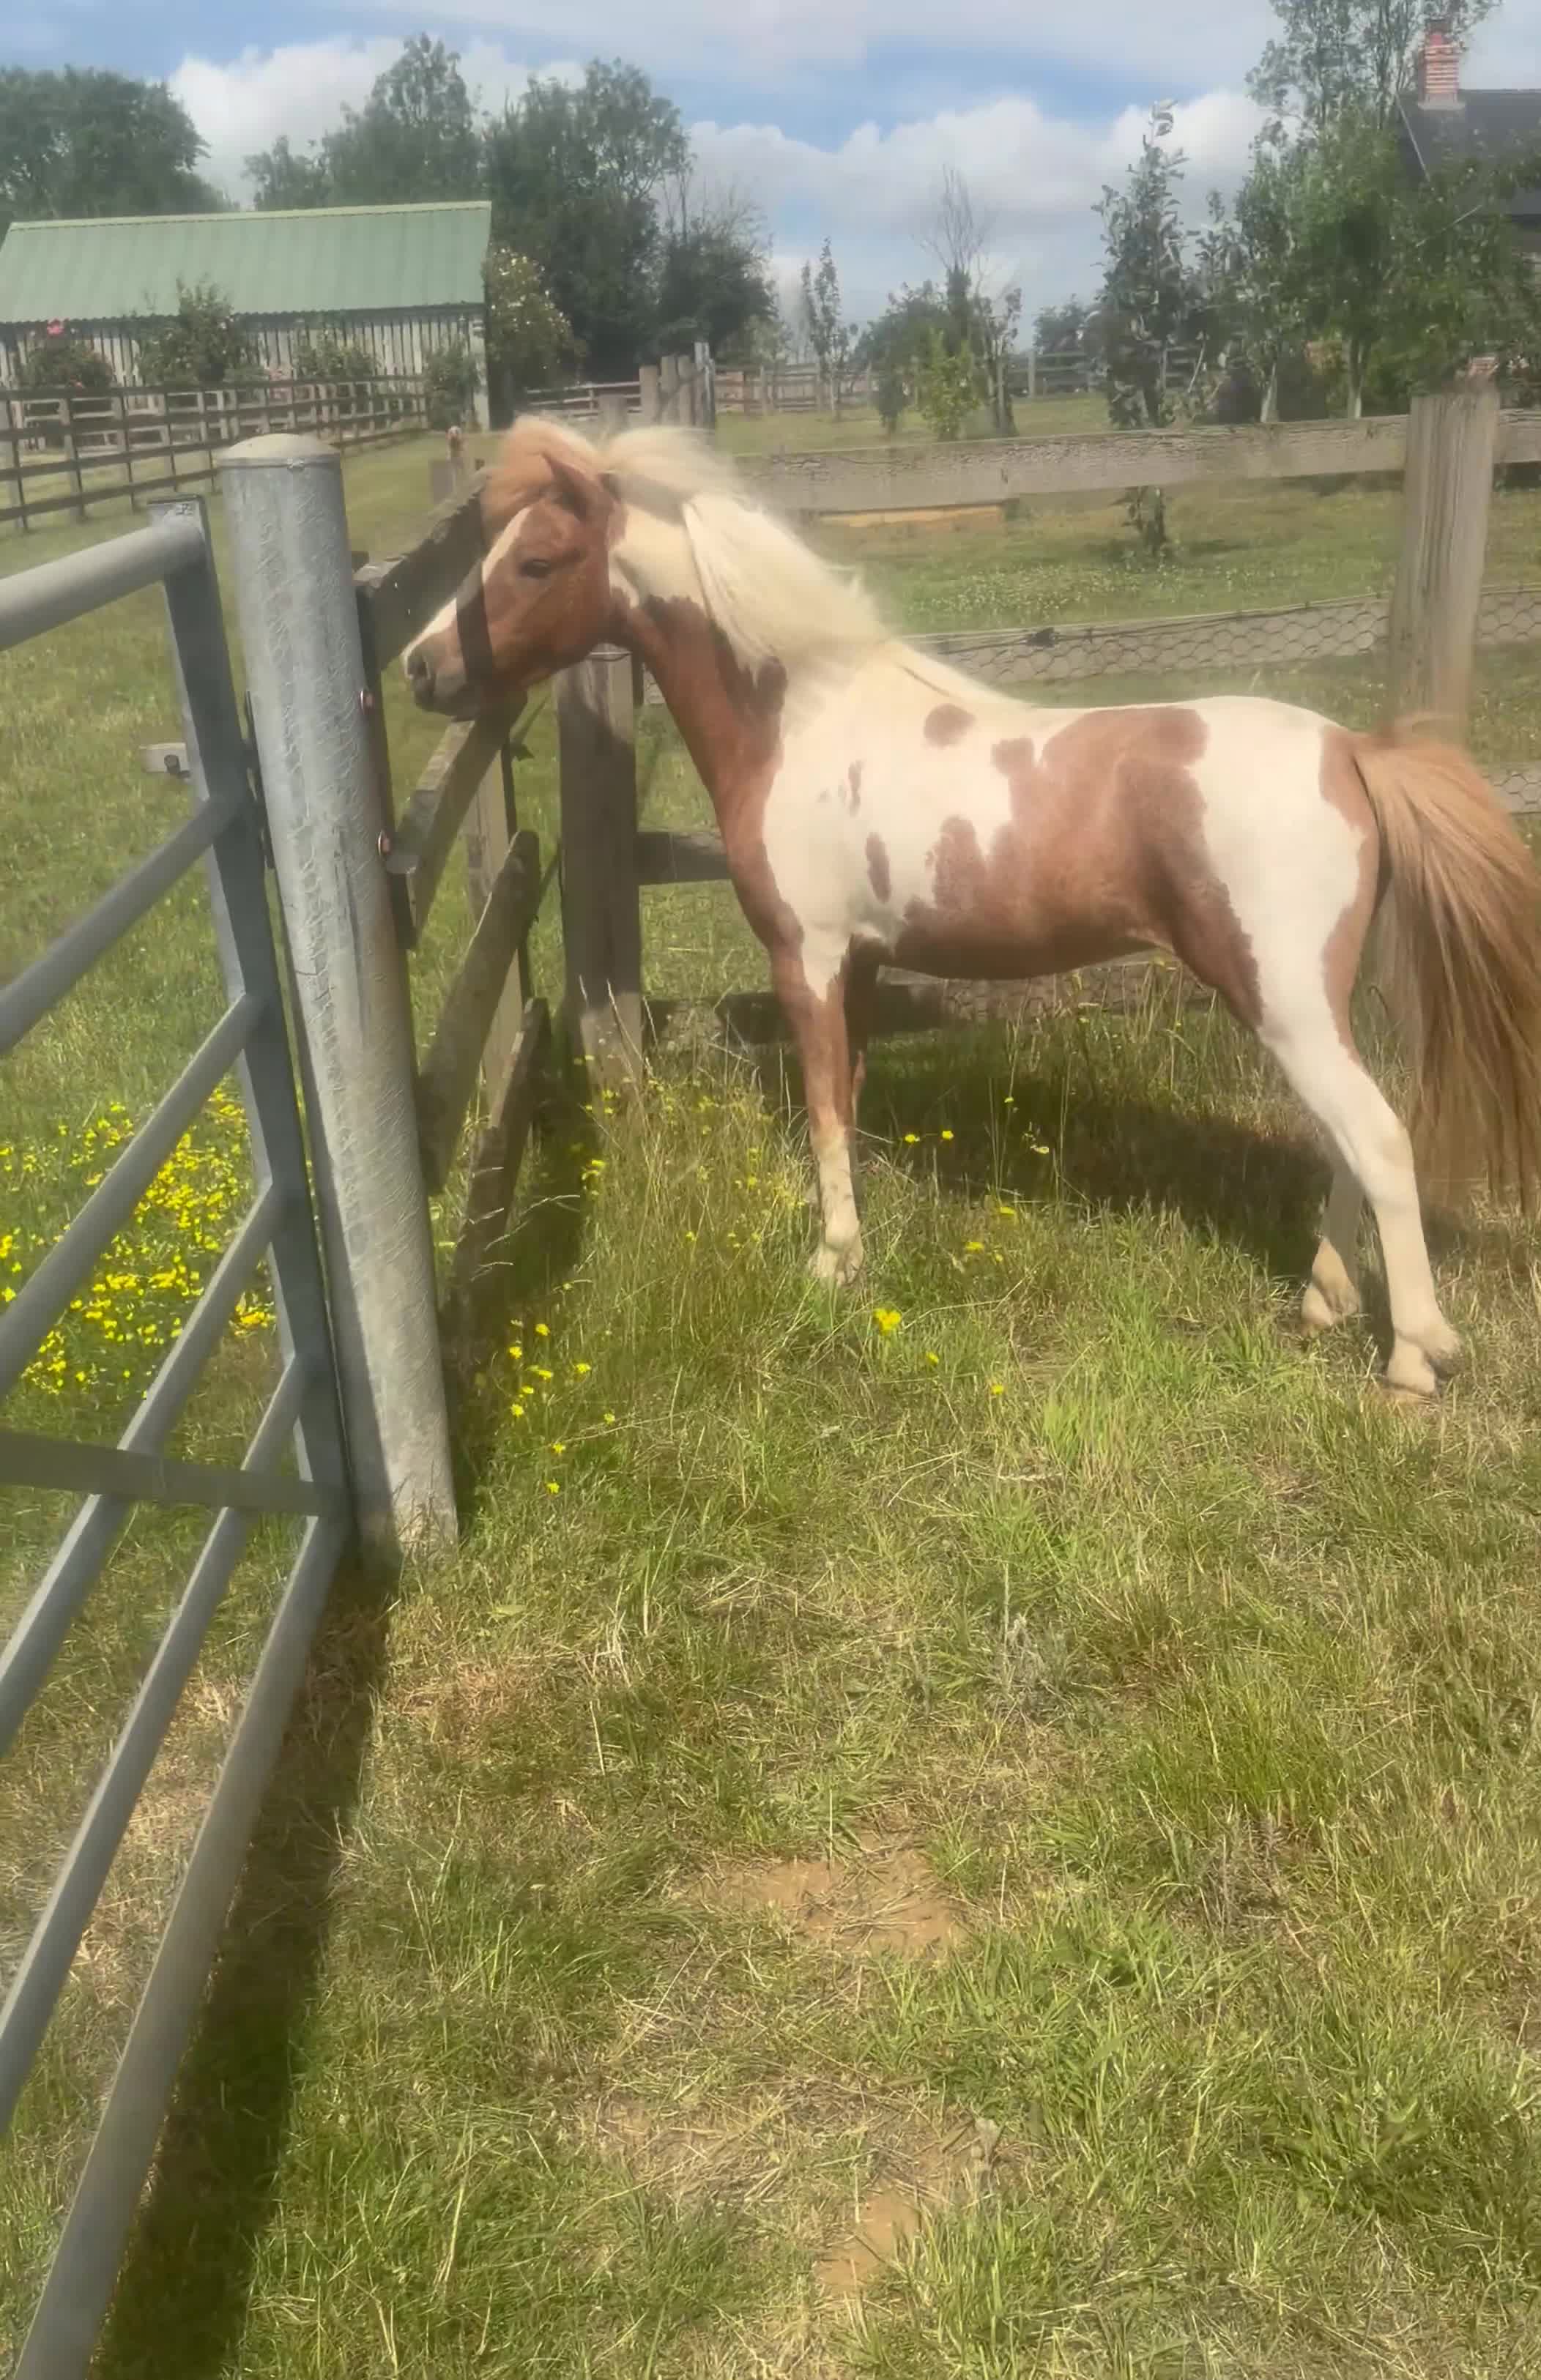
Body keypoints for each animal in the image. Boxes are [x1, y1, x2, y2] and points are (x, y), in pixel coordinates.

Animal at [404, 416, 1541, 1398]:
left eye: (536, 561)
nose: (421, 666)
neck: (798, 720)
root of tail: (1353, 750)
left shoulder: (806, 957)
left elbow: (824, 1111)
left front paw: (833, 1263)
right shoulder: (859, 965)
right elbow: (849, 1098)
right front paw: (852, 1248)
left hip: (1286, 1004)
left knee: (1379, 1138)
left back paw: (1414, 1357)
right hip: (1308, 1008)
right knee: (1349, 1141)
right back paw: (1322, 1302)